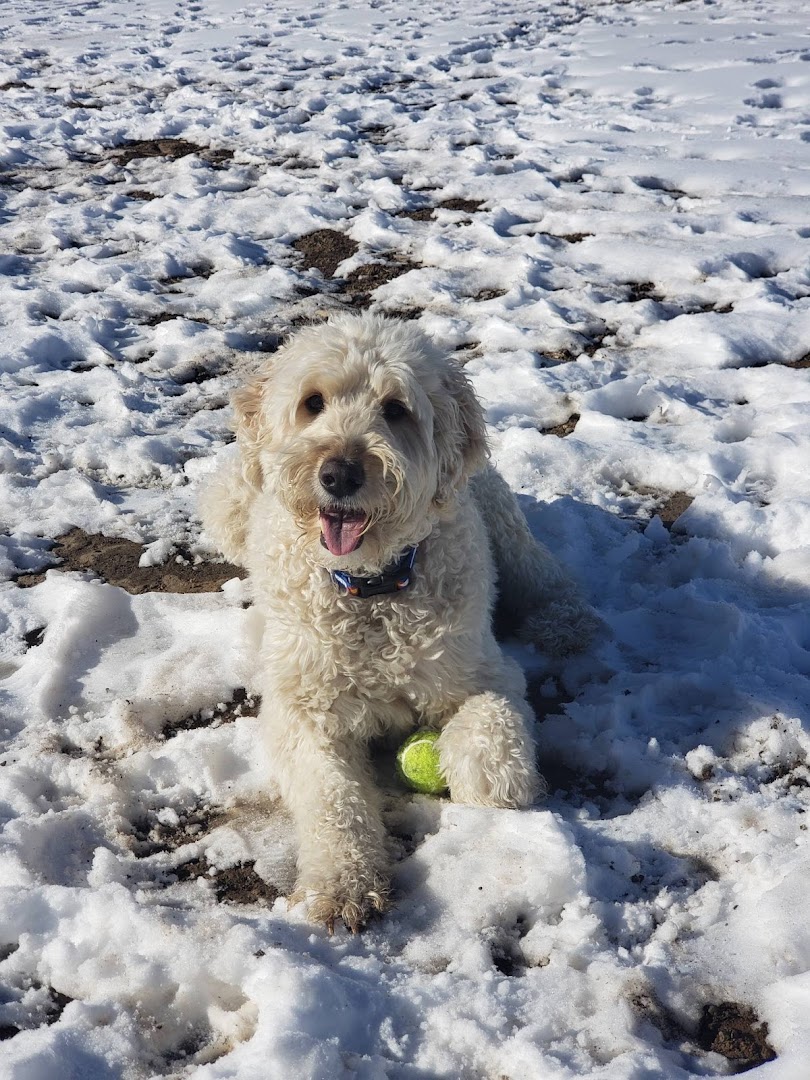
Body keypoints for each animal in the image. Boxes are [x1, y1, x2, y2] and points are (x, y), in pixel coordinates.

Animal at [200, 311, 600, 928]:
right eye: (313, 402)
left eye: (395, 409)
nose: (340, 474)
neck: (372, 590)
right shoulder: (302, 710)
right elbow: (331, 798)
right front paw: (342, 884)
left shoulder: (481, 671)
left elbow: (492, 722)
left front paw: (490, 780)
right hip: (227, 507)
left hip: (497, 515)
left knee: (540, 570)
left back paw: (565, 619)